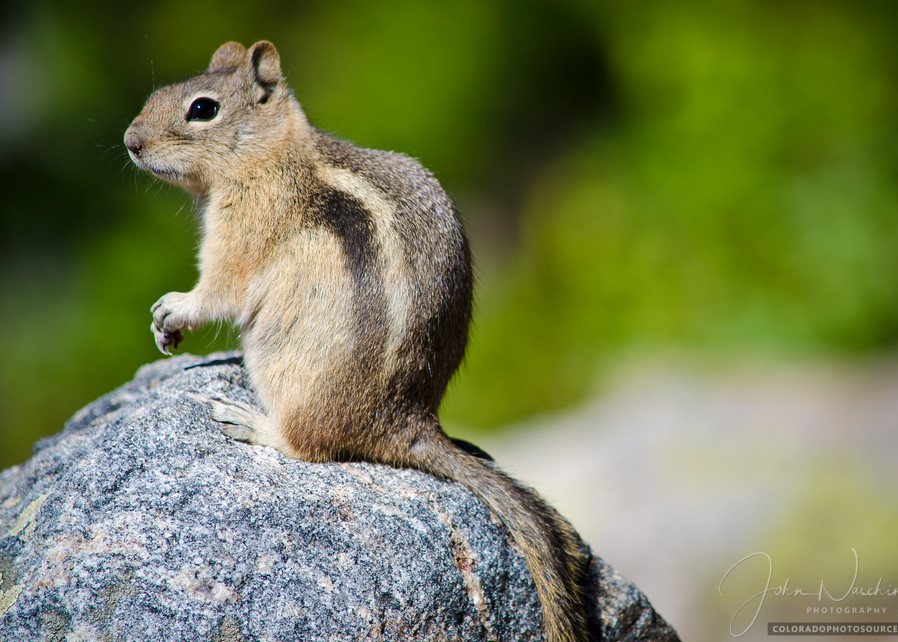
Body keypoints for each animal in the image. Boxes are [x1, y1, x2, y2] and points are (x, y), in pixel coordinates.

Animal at [124, 40, 589, 641]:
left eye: (202, 109)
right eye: (157, 93)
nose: (130, 141)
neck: (269, 155)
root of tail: (405, 421)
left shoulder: (244, 231)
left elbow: (220, 290)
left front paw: (174, 308)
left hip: (280, 361)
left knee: (311, 446)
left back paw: (251, 422)